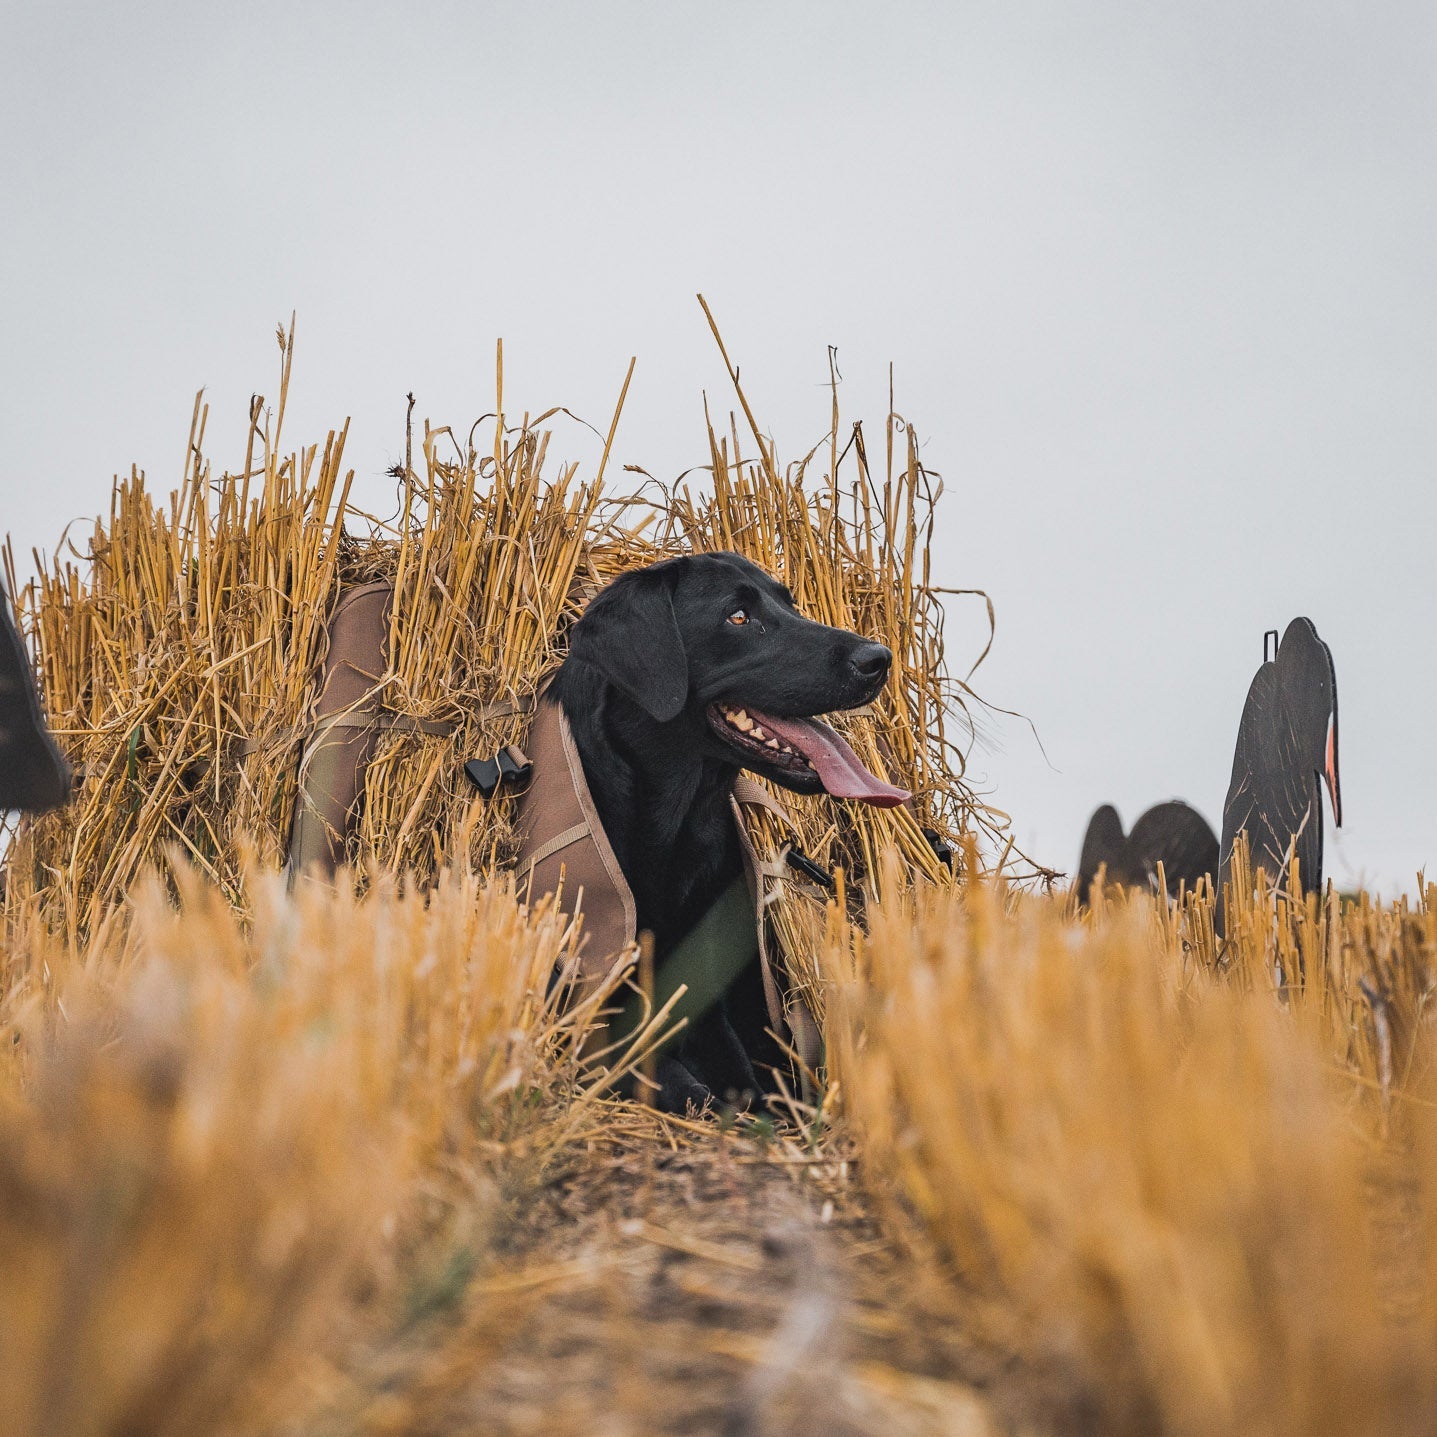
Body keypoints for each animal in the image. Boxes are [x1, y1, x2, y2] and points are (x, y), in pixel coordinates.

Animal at [543, 548, 902, 1109]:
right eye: (737, 617)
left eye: (789, 604)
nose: (879, 658)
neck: (673, 822)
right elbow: (653, 1070)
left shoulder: (702, 989)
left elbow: (738, 1076)